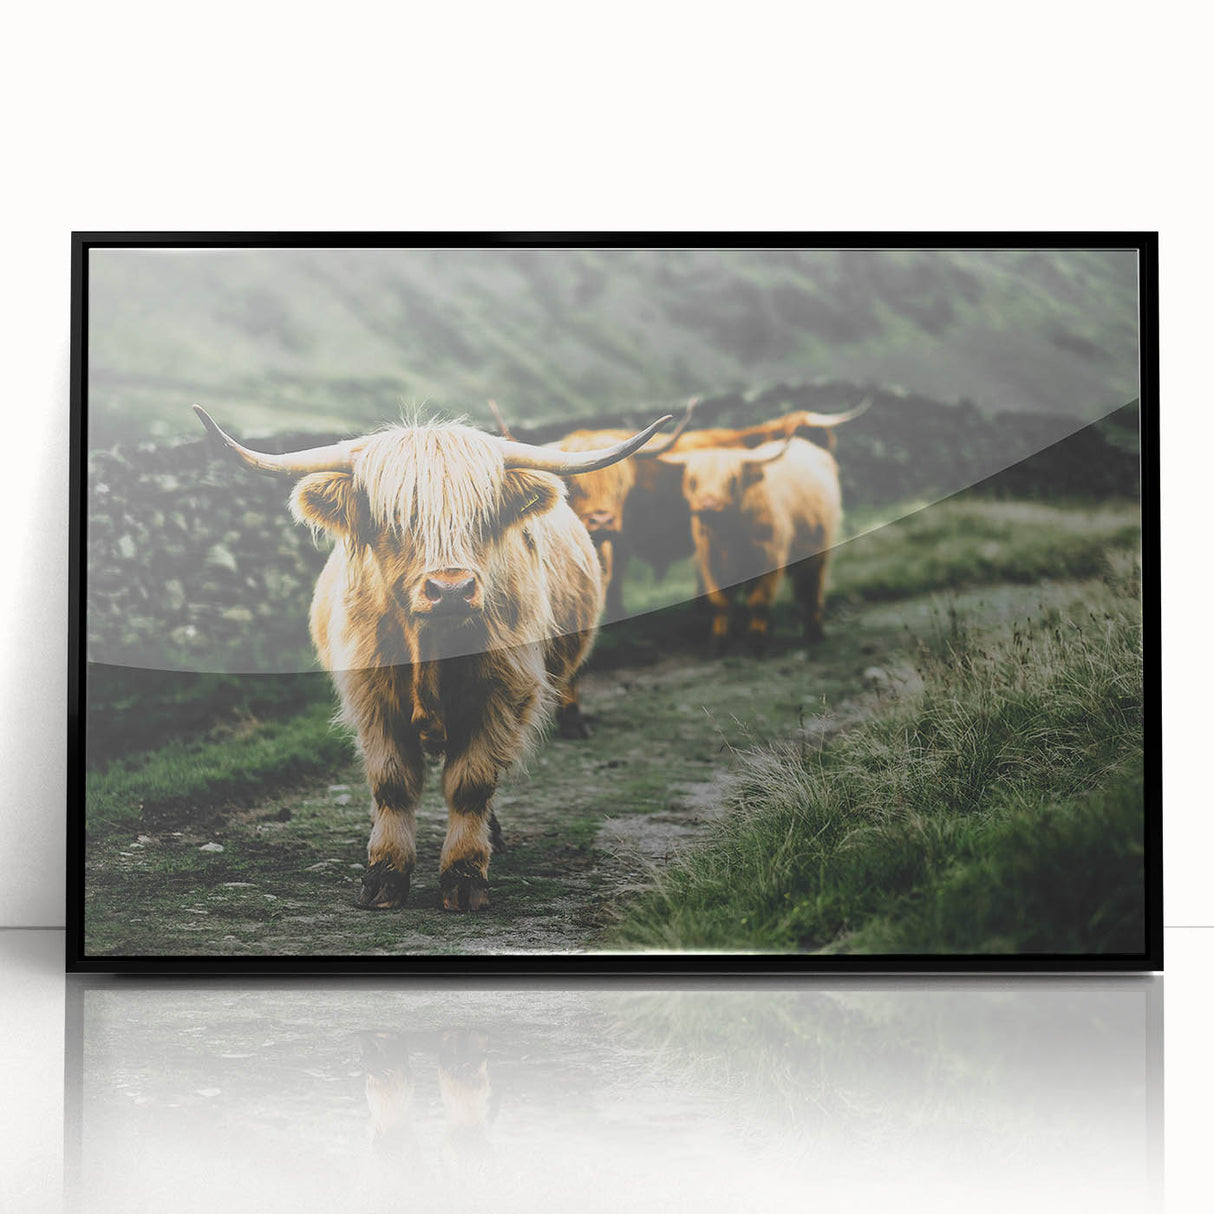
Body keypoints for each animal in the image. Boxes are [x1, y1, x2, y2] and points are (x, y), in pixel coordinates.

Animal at [193, 406, 669, 911]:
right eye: (395, 518)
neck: (431, 651)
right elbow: (392, 783)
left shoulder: (503, 694)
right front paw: (383, 874)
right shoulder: (372, 698)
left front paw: (464, 876)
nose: (451, 590)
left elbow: (471, 783)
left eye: (483, 516)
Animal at [655, 435, 843, 654]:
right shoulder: (711, 561)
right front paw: (718, 644)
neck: (730, 535)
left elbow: (758, 601)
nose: (708, 506)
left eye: (732, 480)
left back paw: (815, 633)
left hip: (818, 550)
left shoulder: (769, 557)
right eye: (693, 481)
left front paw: (757, 643)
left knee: (811, 589)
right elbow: (721, 602)